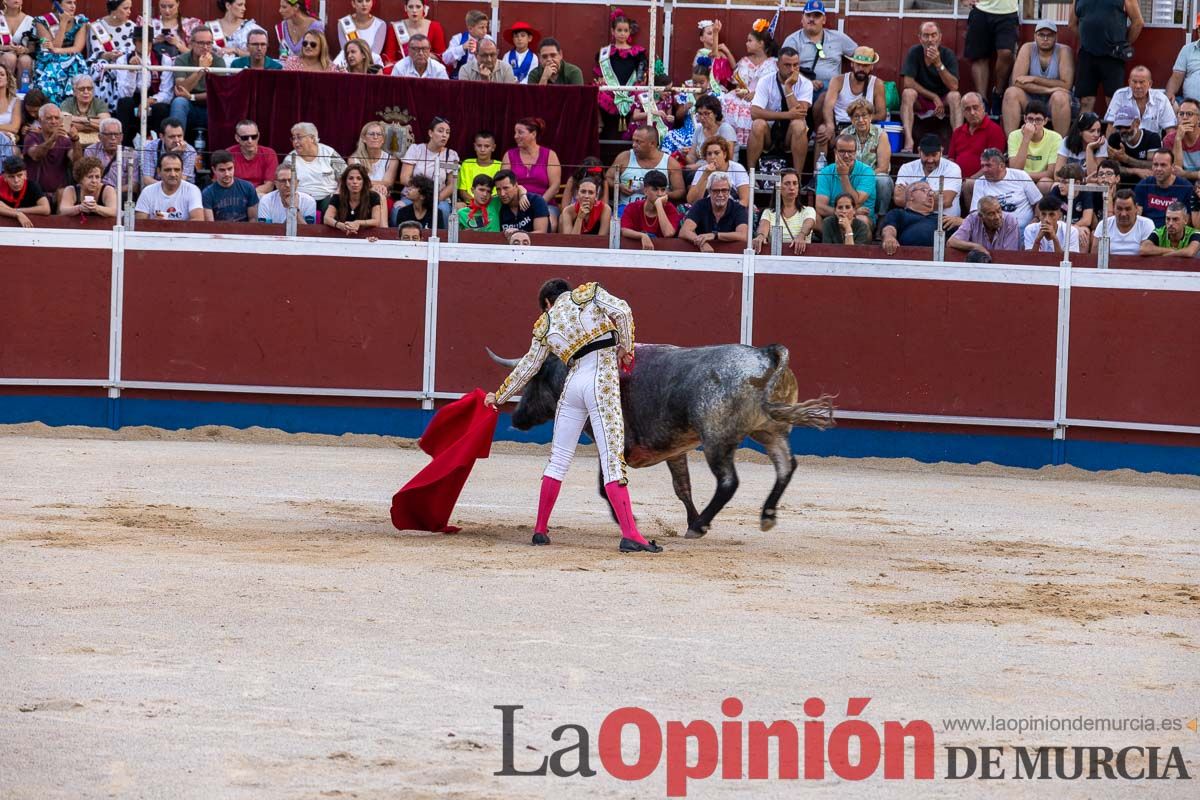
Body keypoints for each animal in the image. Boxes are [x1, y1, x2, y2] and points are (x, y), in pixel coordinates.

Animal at [482, 343, 830, 537]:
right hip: (770, 430)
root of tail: (764, 354)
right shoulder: (675, 448)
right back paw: (765, 515)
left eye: (535, 380)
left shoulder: (612, 442)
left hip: (717, 440)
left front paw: (632, 519)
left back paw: (702, 525)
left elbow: (605, 485)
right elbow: (682, 487)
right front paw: (689, 517)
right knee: (785, 466)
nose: (517, 418)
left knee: (729, 482)